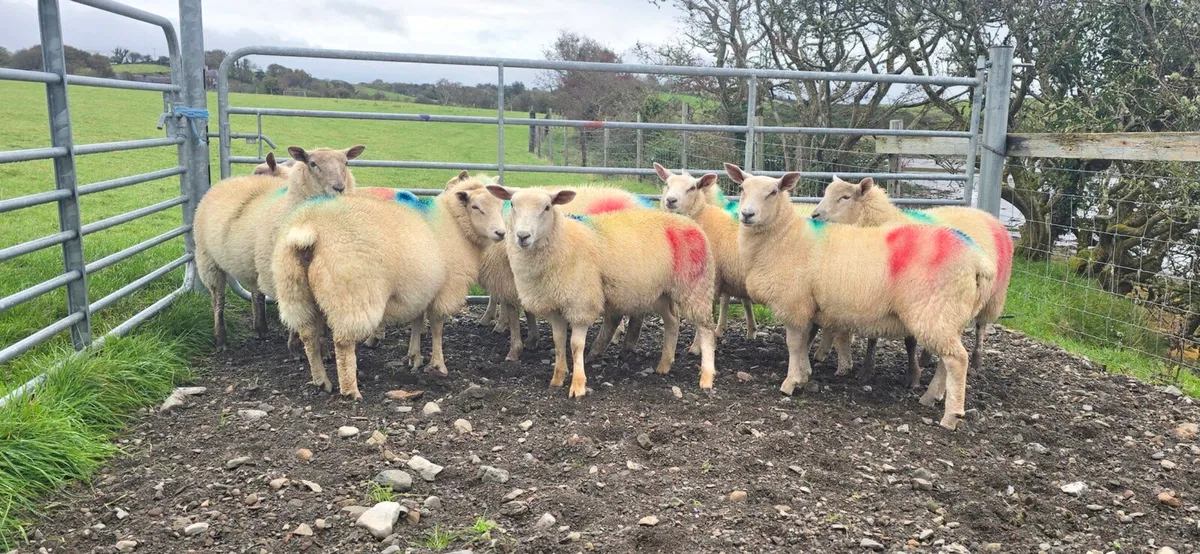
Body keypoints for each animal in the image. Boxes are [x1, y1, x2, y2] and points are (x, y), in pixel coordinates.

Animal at [193, 145, 361, 348]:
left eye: (346, 162)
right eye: (312, 163)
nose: (339, 188)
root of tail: (227, 181)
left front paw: (321, 341)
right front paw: (295, 343)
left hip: (252, 264)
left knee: (256, 293)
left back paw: (261, 328)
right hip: (208, 259)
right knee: (218, 299)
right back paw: (221, 338)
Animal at [272, 176, 505, 398]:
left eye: (501, 204)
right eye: (475, 206)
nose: (501, 233)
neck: (455, 227)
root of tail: (310, 229)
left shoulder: (421, 289)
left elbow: (417, 321)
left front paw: (414, 357)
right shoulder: (446, 289)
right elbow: (437, 327)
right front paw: (438, 364)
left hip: (295, 290)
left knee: (308, 335)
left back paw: (321, 381)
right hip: (352, 294)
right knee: (343, 342)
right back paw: (350, 390)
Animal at [485, 185, 717, 398]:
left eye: (547, 207)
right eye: (513, 205)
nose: (523, 236)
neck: (563, 242)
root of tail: (692, 224)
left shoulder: (581, 301)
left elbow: (575, 345)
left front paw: (578, 385)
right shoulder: (555, 305)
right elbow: (559, 342)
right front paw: (557, 378)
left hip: (695, 285)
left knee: (706, 329)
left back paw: (706, 376)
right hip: (660, 291)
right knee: (672, 320)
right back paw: (664, 365)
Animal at [810, 177, 1014, 380]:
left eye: (845, 197)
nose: (814, 215)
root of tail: (985, 214)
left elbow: (910, 342)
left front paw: (913, 375)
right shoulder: (876, 295)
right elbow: (873, 337)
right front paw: (867, 370)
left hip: (992, 297)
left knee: (980, 327)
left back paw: (976, 362)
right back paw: (927, 357)